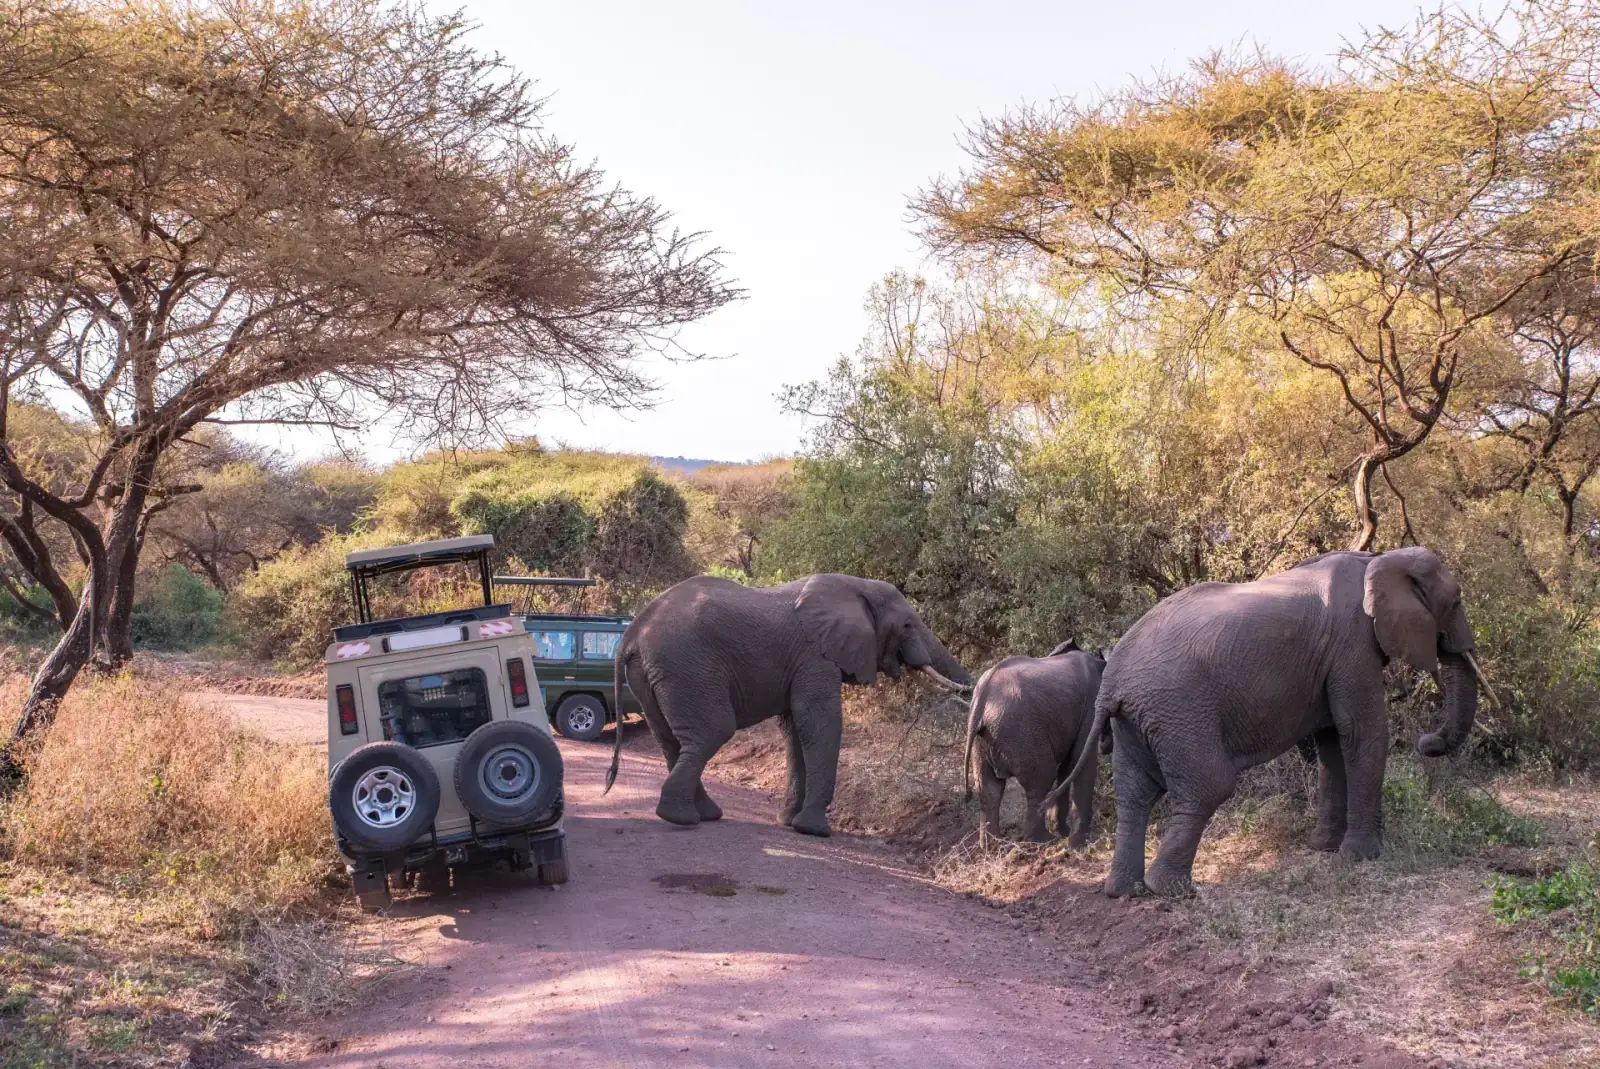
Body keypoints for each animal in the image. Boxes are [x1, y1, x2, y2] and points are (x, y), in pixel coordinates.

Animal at [606, 573, 973, 837]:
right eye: (908, 625)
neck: (856, 586)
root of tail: (632, 632)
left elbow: (795, 729)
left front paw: (788, 821)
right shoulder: (815, 656)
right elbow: (818, 722)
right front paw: (814, 830)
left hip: (653, 674)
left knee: (671, 741)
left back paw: (702, 814)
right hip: (686, 666)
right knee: (712, 732)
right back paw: (681, 818)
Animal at [962, 640, 1108, 846]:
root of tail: (981, 701)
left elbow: (1068, 766)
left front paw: (1064, 832)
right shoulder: (1091, 706)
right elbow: (1082, 761)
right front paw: (1079, 841)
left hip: (983, 741)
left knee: (990, 790)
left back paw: (995, 845)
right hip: (1022, 734)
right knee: (1041, 781)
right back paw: (1043, 841)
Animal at [1051, 547, 1491, 898]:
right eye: (1456, 602)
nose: (1427, 742)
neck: (1379, 559)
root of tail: (1112, 682)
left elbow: (1331, 743)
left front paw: (1323, 848)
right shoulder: (1352, 644)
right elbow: (1361, 731)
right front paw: (1361, 857)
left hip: (1135, 720)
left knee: (1133, 796)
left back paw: (1124, 891)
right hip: (1178, 712)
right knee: (1209, 787)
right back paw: (1174, 891)